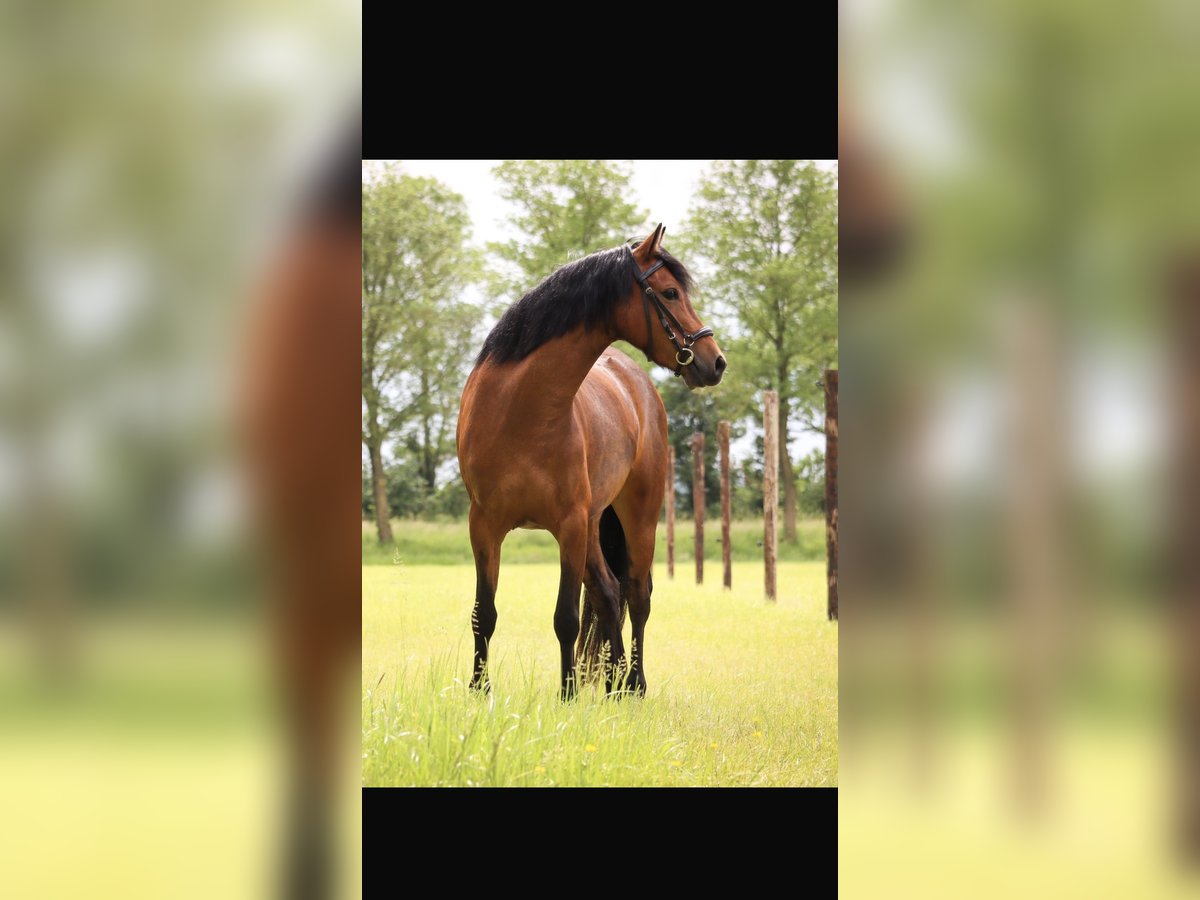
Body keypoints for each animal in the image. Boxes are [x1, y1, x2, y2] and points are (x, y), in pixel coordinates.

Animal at [456, 222, 720, 700]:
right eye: (670, 293)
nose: (716, 360)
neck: (519, 411)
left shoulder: (570, 525)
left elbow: (566, 617)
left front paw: (568, 695)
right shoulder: (483, 526)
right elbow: (484, 613)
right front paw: (479, 690)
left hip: (637, 516)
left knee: (637, 594)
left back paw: (634, 684)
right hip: (597, 524)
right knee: (609, 594)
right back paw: (613, 682)